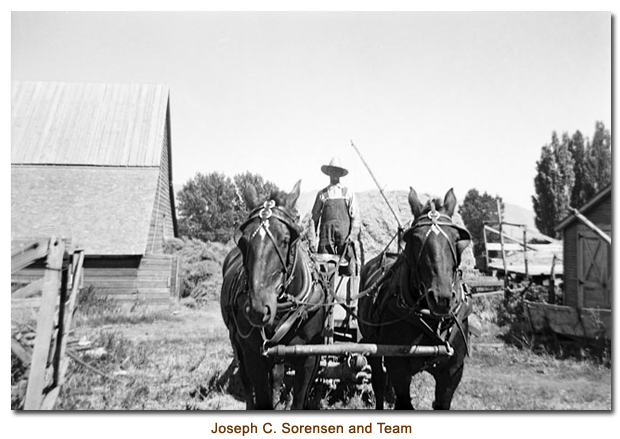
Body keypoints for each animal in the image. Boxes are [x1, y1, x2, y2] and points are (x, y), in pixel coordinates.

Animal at [220, 181, 326, 410]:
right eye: (243, 242)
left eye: (286, 240)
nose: (258, 309)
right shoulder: (253, 356)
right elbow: (261, 397)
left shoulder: (309, 357)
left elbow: (298, 398)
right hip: (237, 342)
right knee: (246, 379)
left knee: (277, 375)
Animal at [358, 186, 470, 410]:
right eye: (415, 239)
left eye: (456, 239)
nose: (441, 298)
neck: (431, 320)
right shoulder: (398, 367)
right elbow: (402, 401)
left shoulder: (452, 373)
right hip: (372, 344)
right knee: (379, 383)